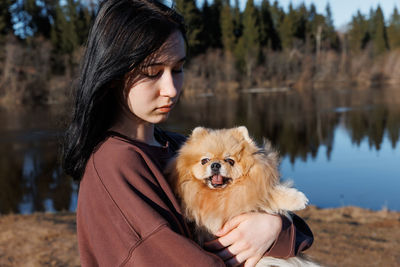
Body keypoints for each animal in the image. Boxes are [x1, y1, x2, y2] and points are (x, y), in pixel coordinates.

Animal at [166, 126, 322, 266]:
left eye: (230, 161)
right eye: (205, 160)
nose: (215, 165)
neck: (221, 194)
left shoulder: (254, 190)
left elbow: (270, 194)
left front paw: (298, 199)